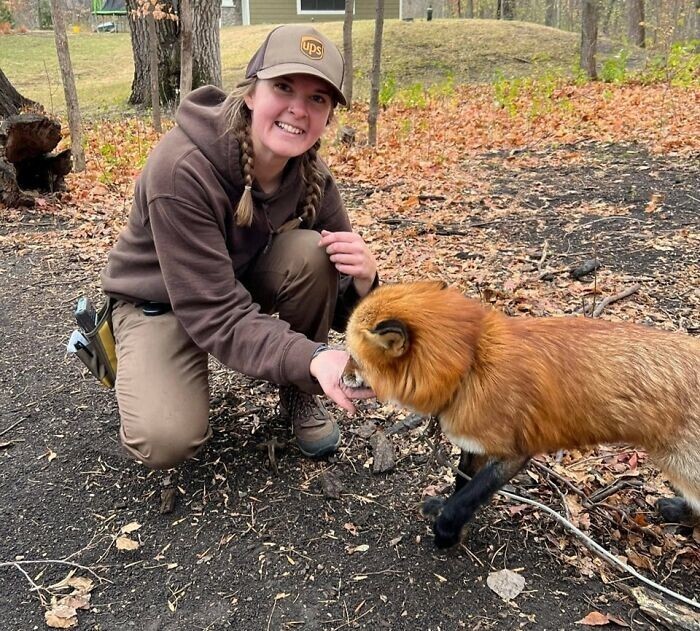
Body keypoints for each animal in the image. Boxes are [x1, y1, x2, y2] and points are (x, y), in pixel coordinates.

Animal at [344, 282, 700, 548]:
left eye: (352, 357)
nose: (341, 377)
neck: (471, 365)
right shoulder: (474, 445)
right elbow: (461, 486)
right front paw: (450, 519)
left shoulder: (515, 453)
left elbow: (467, 497)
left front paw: (446, 532)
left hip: (682, 467)